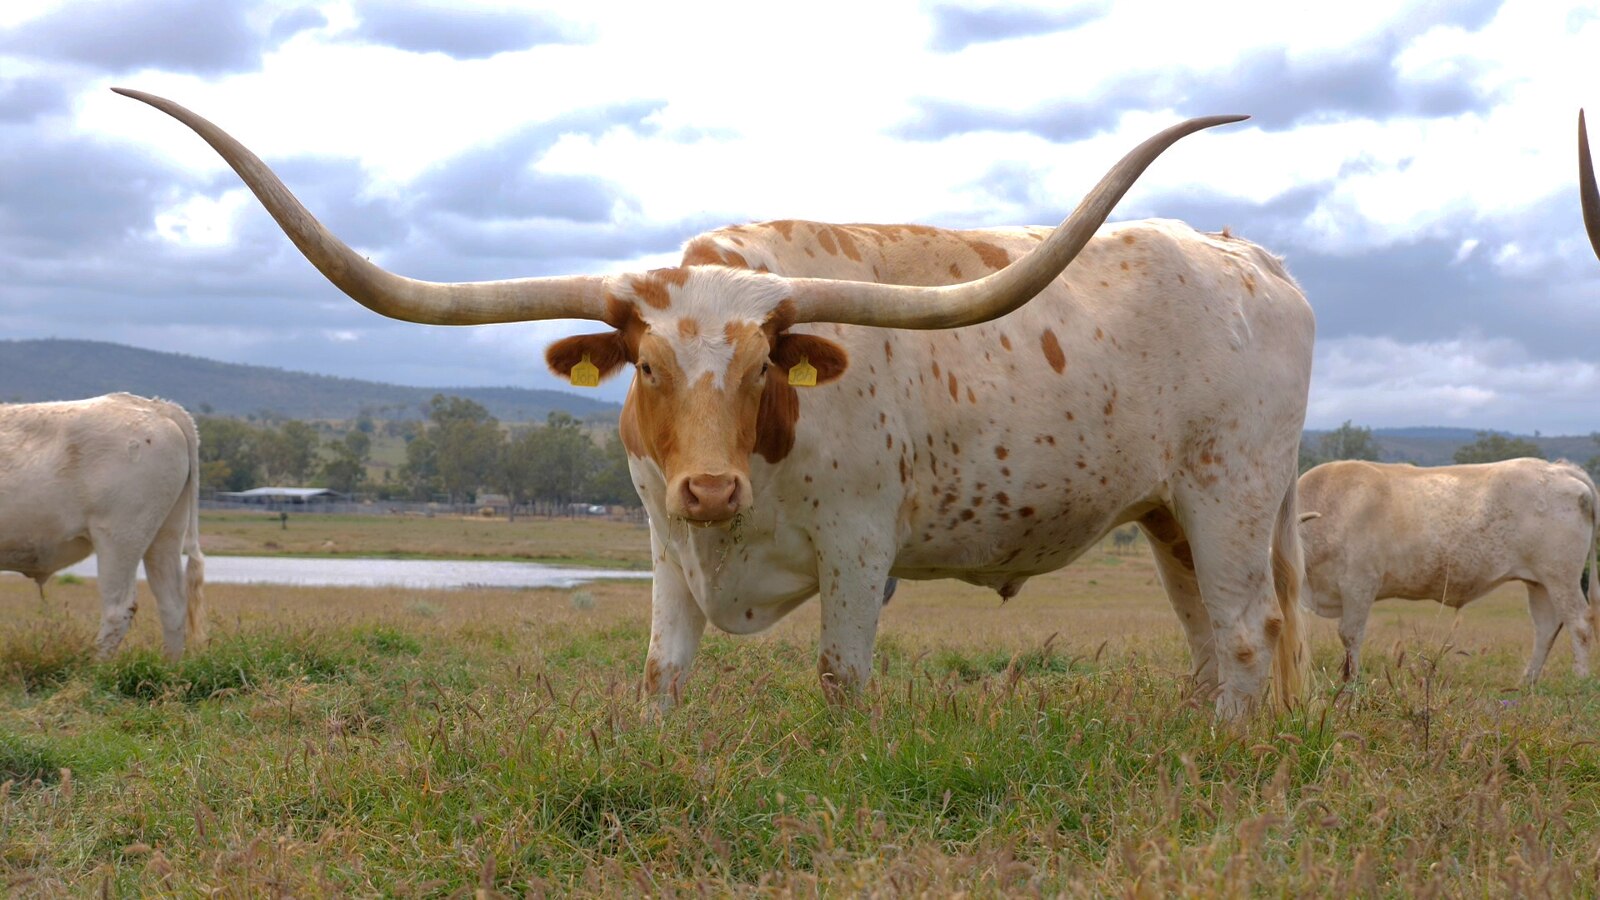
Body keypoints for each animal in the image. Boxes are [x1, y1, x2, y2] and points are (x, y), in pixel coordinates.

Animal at [0, 393, 206, 660]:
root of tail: (156, 406)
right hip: (167, 533)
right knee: (172, 604)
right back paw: (171, 667)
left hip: (120, 535)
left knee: (119, 608)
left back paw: (94, 668)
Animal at [118, 89, 1314, 718]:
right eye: (646, 368)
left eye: (760, 369)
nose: (707, 486)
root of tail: (1248, 259)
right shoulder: (661, 543)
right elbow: (662, 673)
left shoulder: (860, 549)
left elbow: (840, 679)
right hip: (1168, 514)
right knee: (1206, 630)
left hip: (1232, 493)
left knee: (1249, 627)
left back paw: (1227, 750)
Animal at [1297, 459, 1600, 683]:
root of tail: (1559, 468)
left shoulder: (1359, 583)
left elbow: (1350, 634)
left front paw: (1351, 682)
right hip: (1539, 582)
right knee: (1546, 627)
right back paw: (1527, 681)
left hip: (1561, 576)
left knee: (1580, 623)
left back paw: (1579, 678)